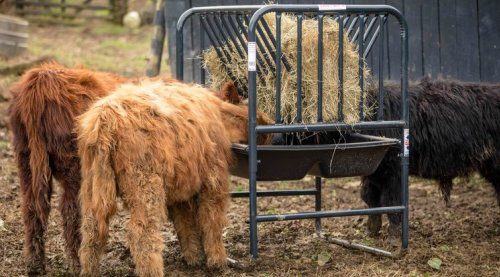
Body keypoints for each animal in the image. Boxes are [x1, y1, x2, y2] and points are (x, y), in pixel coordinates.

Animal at [8, 62, 129, 274]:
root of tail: (41, 78)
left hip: (26, 160)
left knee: (31, 208)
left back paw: (34, 264)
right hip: (73, 168)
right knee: (71, 210)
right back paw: (78, 263)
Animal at [77, 80, 274, 276]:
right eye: (255, 113)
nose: (270, 126)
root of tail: (104, 119)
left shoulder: (180, 189)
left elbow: (185, 224)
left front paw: (193, 258)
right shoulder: (214, 180)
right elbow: (212, 222)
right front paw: (218, 262)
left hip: (92, 186)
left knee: (91, 231)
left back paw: (89, 271)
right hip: (145, 186)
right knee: (141, 233)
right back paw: (153, 271)